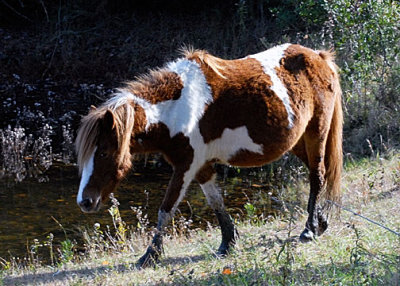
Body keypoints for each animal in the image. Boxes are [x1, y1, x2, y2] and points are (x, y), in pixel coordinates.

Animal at [76, 43, 344, 268]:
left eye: (103, 152)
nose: (85, 202)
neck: (174, 110)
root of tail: (319, 57)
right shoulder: (201, 167)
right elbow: (216, 202)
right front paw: (228, 243)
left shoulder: (186, 166)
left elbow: (166, 209)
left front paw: (150, 255)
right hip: (297, 142)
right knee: (319, 174)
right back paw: (321, 222)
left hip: (316, 133)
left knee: (317, 175)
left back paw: (309, 229)